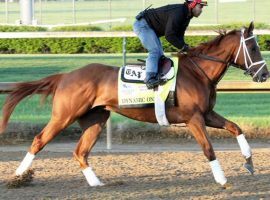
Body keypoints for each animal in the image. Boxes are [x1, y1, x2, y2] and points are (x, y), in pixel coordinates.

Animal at [1, 22, 268, 188]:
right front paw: (222, 179)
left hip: (96, 119)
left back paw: (96, 182)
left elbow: (236, 128)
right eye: (253, 47)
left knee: (80, 152)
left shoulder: (207, 114)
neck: (197, 72)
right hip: (64, 115)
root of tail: (65, 76)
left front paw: (249, 162)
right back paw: (18, 176)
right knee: (39, 140)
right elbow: (208, 149)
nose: (264, 74)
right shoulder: (193, 118)